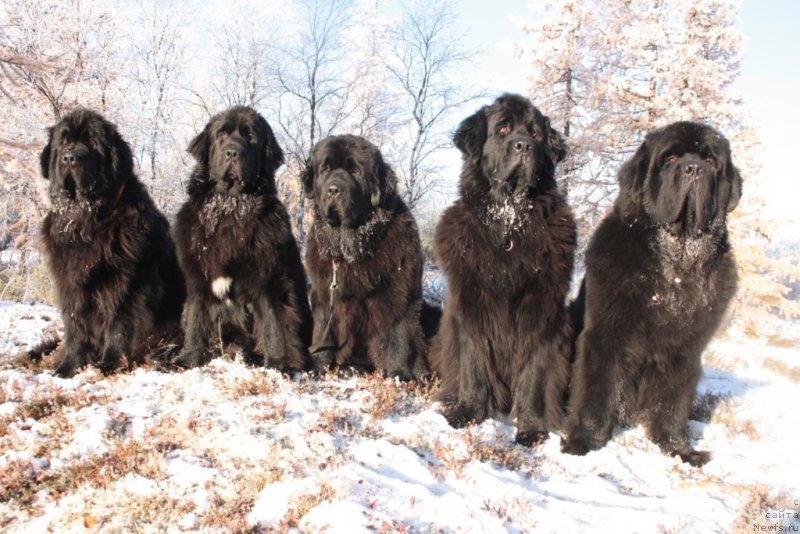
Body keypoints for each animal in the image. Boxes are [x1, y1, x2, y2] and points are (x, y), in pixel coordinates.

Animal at [40, 108, 186, 376]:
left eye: (92, 143)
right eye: (63, 142)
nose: (70, 158)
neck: (87, 221)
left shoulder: (125, 282)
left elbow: (119, 321)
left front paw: (110, 363)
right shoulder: (70, 282)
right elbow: (75, 325)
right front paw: (68, 367)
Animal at [172, 105, 312, 372]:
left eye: (250, 137)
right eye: (221, 135)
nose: (232, 152)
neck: (230, 209)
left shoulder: (269, 279)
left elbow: (274, 324)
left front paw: (278, 364)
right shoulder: (198, 279)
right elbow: (196, 320)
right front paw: (188, 358)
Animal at [302, 137, 428, 382]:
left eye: (355, 171)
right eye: (325, 169)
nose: (334, 189)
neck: (350, 247)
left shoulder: (399, 295)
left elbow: (398, 336)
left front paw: (399, 375)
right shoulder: (324, 295)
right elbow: (322, 331)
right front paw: (318, 367)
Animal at [432, 94, 576, 446]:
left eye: (536, 134)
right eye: (503, 130)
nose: (524, 146)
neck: (508, 225)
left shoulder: (542, 315)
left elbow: (536, 376)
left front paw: (533, 430)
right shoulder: (472, 307)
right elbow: (473, 367)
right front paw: (466, 413)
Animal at [564, 120, 744, 464]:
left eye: (711, 161)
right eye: (670, 158)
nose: (694, 169)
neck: (675, 269)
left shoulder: (685, 351)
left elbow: (672, 403)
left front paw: (678, 449)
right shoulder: (604, 337)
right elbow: (597, 390)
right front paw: (584, 442)